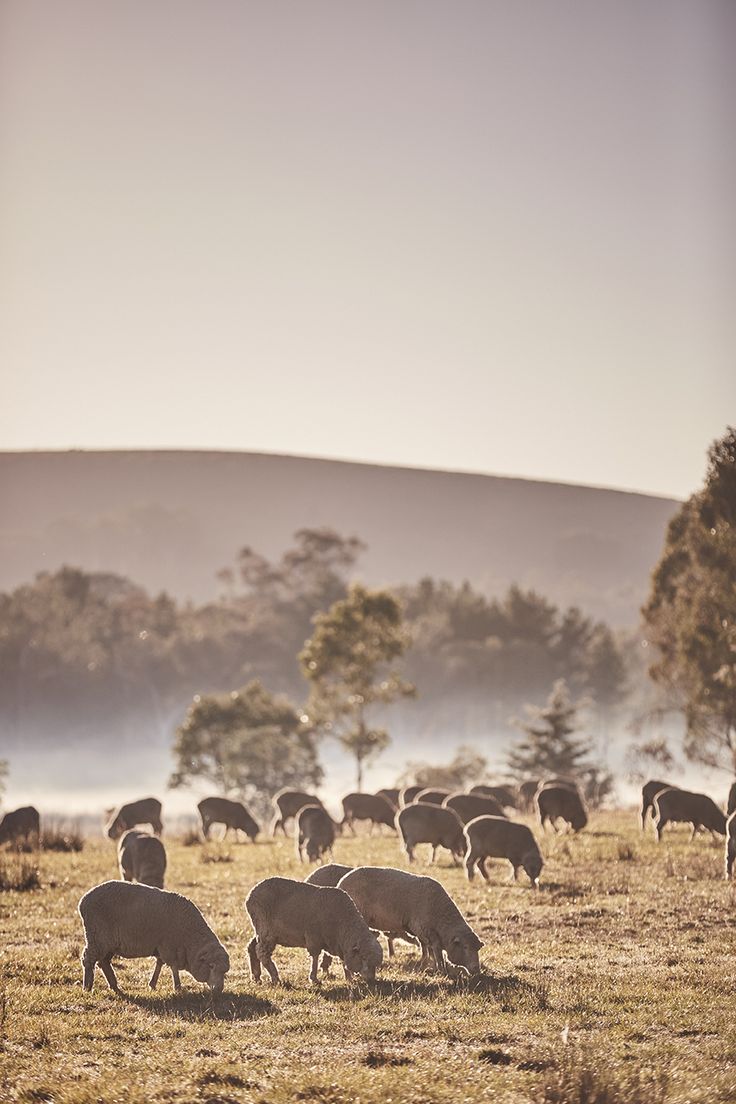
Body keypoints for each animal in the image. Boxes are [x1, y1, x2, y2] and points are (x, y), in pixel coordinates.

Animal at [78, 878, 228, 993]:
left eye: (224, 973)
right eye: (211, 966)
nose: (218, 990)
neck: (189, 937)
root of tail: (83, 901)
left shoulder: (162, 946)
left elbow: (159, 964)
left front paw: (153, 984)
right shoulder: (169, 947)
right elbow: (173, 968)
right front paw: (178, 987)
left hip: (108, 942)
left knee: (103, 962)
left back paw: (114, 985)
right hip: (97, 936)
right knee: (88, 959)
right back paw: (87, 987)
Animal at [247, 874, 386, 989]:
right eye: (363, 958)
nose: (371, 981)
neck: (342, 924)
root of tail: (251, 894)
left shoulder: (340, 944)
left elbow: (343, 961)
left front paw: (349, 978)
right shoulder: (313, 937)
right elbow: (315, 957)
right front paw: (314, 979)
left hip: (261, 930)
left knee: (252, 947)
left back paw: (256, 977)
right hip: (266, 930)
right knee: (262, 952)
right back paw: (275, 977)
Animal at [335, 865, 483, 980]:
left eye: (477, 948)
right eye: (465, 947)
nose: (477, 969)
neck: (440, 914)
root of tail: (341, 882)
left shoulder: (423, 932)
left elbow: (426, 949)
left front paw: (427, 966)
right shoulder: (425, 930)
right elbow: (435, 951)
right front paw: (442, 970)